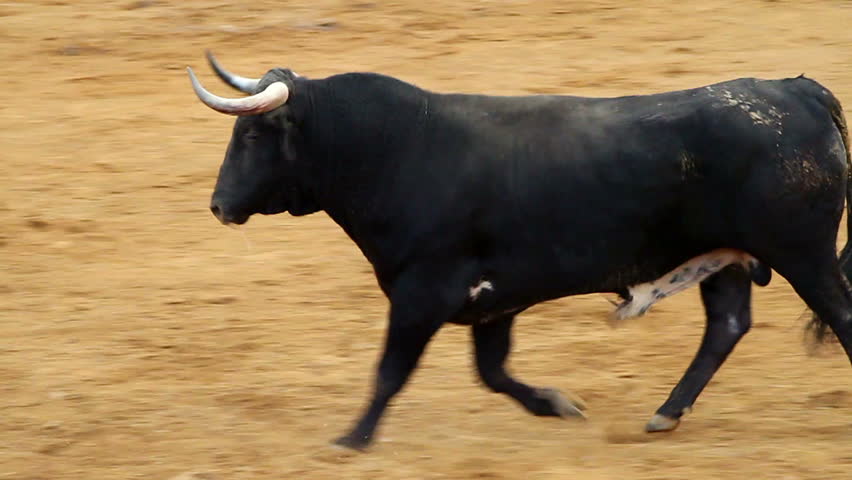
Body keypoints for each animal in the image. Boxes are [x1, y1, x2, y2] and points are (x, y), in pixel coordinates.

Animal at [187, 51, 852, 451]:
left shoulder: (422, 292)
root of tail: (799, 91)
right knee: (727, 326)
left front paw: (352, 440)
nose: (218, 205)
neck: (395, 149)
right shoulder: (492, 302)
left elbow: (390, 371)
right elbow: (494, 372)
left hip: (804, 255)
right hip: (728, 259)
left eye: (252, 133)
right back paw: (665, 412)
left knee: (838, 315)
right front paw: (557, 404)